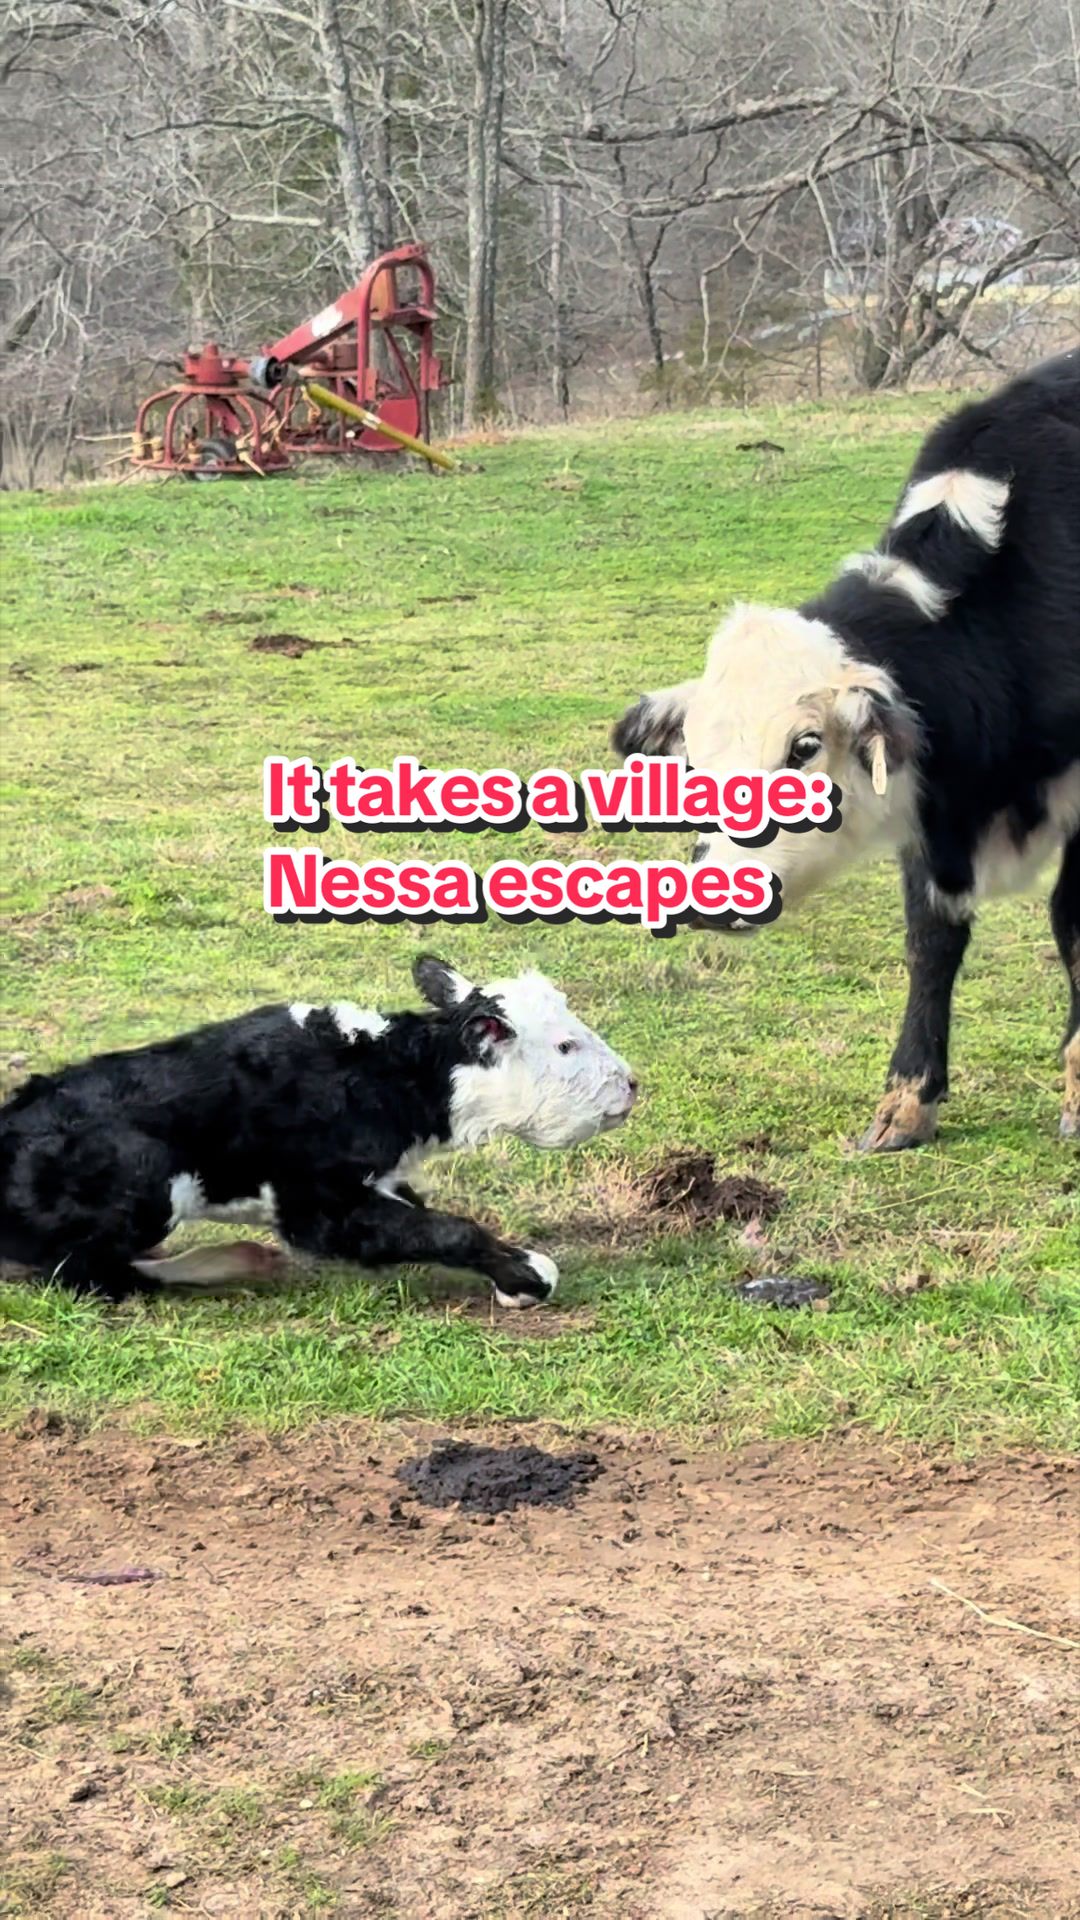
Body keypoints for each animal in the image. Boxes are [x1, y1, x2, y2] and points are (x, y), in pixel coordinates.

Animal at [0, 956, 637, 1305]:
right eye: (566, 1045)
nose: (631, 1084)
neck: (384, 1075)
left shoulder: (382, 1181)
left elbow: (421, 1218)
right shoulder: (315, 1206)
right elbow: (447, 1229)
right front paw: (525, 1276)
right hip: (145, 1183)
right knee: (87, 1274)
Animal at [612, 349, 1080, 1149]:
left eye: (804, 747)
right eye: (694, 764)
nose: (710, 899)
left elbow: (1072, 925)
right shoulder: (931, 822)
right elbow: (932, 941)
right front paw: (907, 1101)